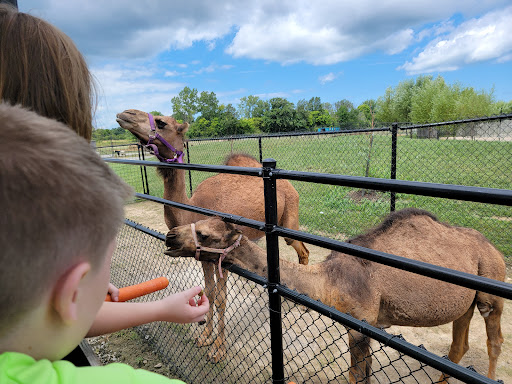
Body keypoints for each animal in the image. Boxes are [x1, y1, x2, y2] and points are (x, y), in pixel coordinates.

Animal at [116, 109, 308, 362]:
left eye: (161, 122)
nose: (125, 114)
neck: (191, 210)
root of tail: (289, 184)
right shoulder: (203, 256)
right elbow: (208, 291)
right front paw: (204, 337)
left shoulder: (223, 256)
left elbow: (220, 299)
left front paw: (218, 350)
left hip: (289, 216)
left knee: (302, 248)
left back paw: (304, 304)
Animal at [166, 210, 506, 384]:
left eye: (206, 235)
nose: (170, 237)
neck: (329, 279)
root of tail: (491, 246)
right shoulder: (361, 326)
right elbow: (361, 373)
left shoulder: (362, 324)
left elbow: (357, 376)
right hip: (465, 302)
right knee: (458, 345)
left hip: (491, 284)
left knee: (494, 339)